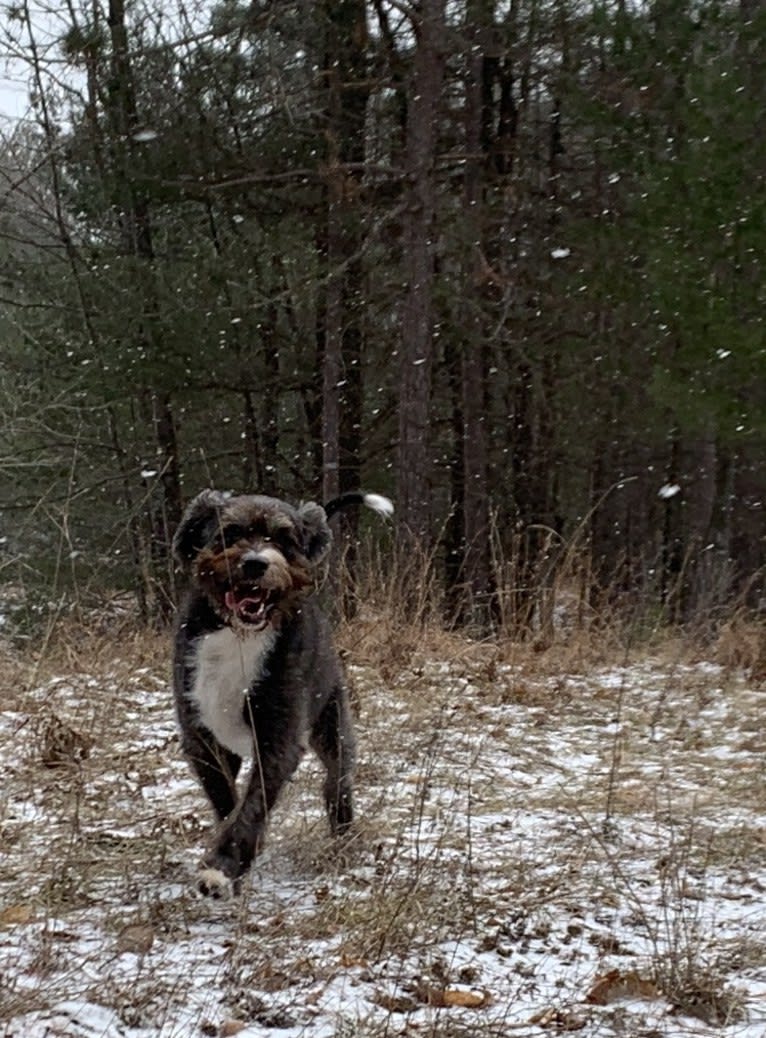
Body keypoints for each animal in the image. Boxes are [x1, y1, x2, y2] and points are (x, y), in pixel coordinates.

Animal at [171, 481, 390, 896]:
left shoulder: (278, 736)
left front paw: (221, 867)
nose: (256, 563)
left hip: (333, 725)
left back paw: (343, 836)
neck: (239, 634)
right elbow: (227, 800)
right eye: (231, 532)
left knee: (337, 783)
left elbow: (252, 804)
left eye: (285, 539)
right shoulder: (202, 736)